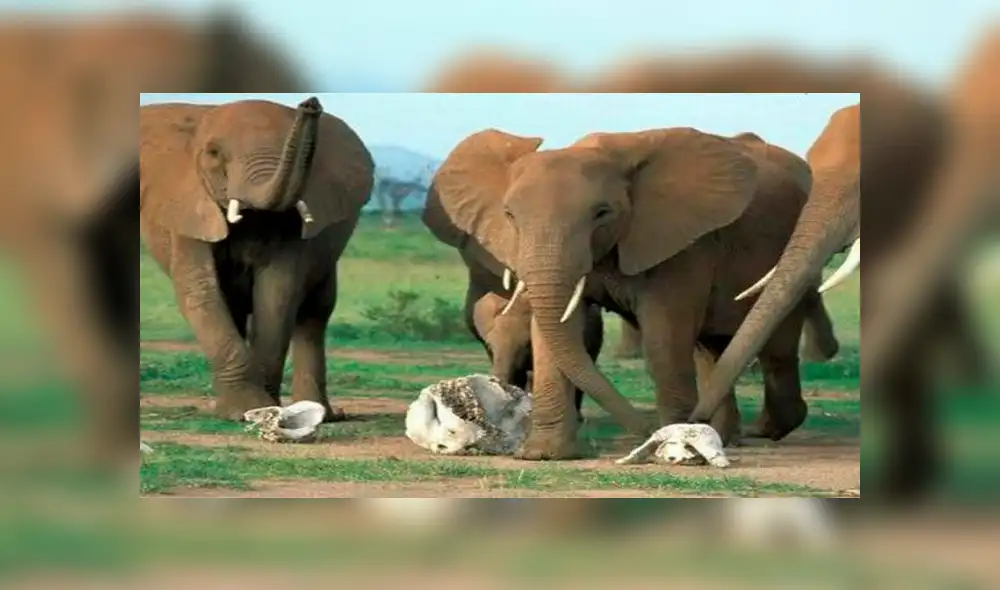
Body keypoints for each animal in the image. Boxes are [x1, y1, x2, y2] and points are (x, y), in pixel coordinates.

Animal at [139, 96, 375, 421]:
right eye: (214, 154)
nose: (310, 104)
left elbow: (277, 294)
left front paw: (263, 409)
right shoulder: (188, 208)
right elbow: (200, 293)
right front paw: (245, 410)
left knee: (315, 314)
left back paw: (321, 414)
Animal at [423, 126, 840, 458]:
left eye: (602, 213)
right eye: (510, 216)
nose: (645, 433)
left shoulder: (682, 241)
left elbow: (663, 336)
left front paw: (677, 448)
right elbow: (555, 333)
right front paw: (543, 456)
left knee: (775, 343)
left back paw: (762, 429)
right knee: (713, 347)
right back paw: (725, 436)